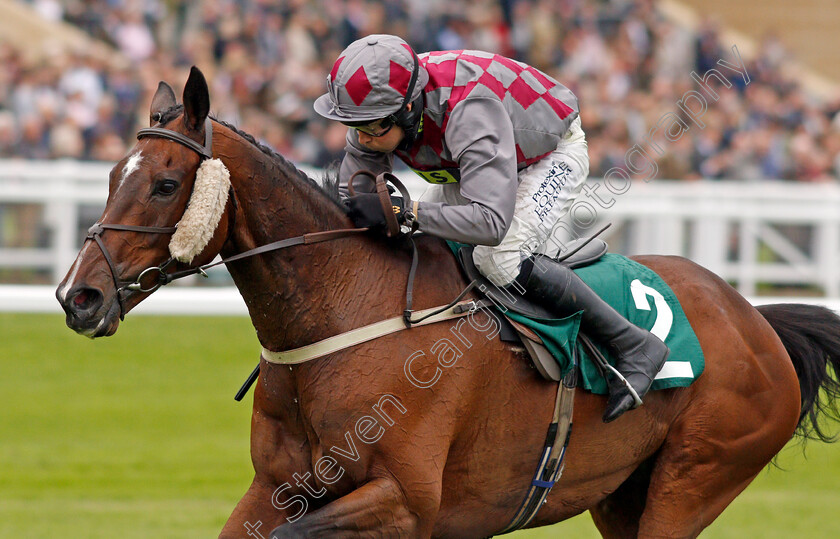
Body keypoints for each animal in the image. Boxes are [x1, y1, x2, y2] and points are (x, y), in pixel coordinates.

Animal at [55, 68, 836, 539]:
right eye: (111, 174)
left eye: (164, 184)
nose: (77, 295)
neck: (343, 311)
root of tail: (755, 318)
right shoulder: (277, 482)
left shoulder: (405, 502)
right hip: (625, 494)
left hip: (693, 478)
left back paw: (640, 357)